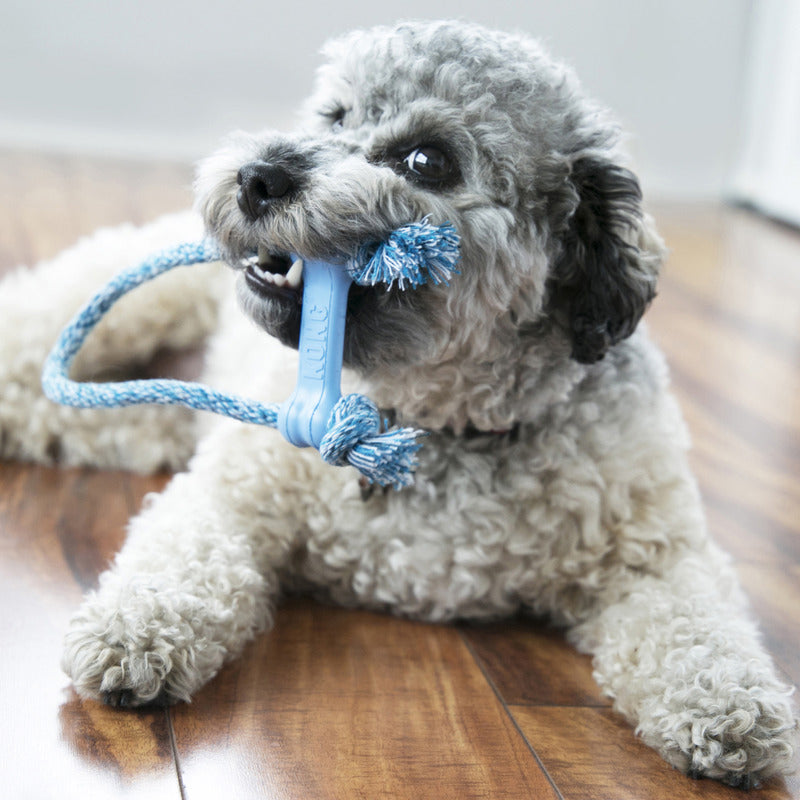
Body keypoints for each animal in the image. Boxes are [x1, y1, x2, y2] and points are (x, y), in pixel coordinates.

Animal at [3, 18, 796, 788]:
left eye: (426, 160)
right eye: (335, 115)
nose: (259, 175)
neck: (434, 425)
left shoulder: (657, 551)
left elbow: (698, 625)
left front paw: (730, 707)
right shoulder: (236, 493)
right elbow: (182, 556)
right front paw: (135, 630)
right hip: (126, 304)